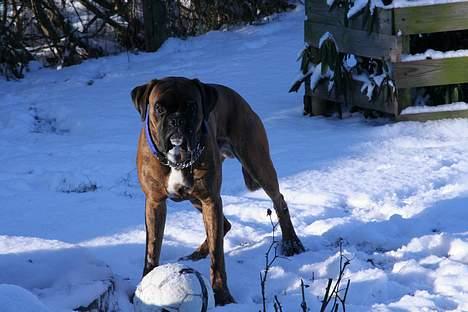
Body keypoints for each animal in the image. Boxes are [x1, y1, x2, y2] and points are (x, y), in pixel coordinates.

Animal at [130, 77, 306, 306]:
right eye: (159, 108)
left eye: (191, 106)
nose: (176, 120)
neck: (178, 158)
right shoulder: (155, 202)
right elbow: (152, 248)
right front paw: (143, 284)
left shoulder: (211, 200)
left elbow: (218, 255)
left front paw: (222, 295)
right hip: (198, 198)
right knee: (225, 224)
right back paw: (196, 254)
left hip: (257, 165)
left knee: (279, 200)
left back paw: (292, 242)